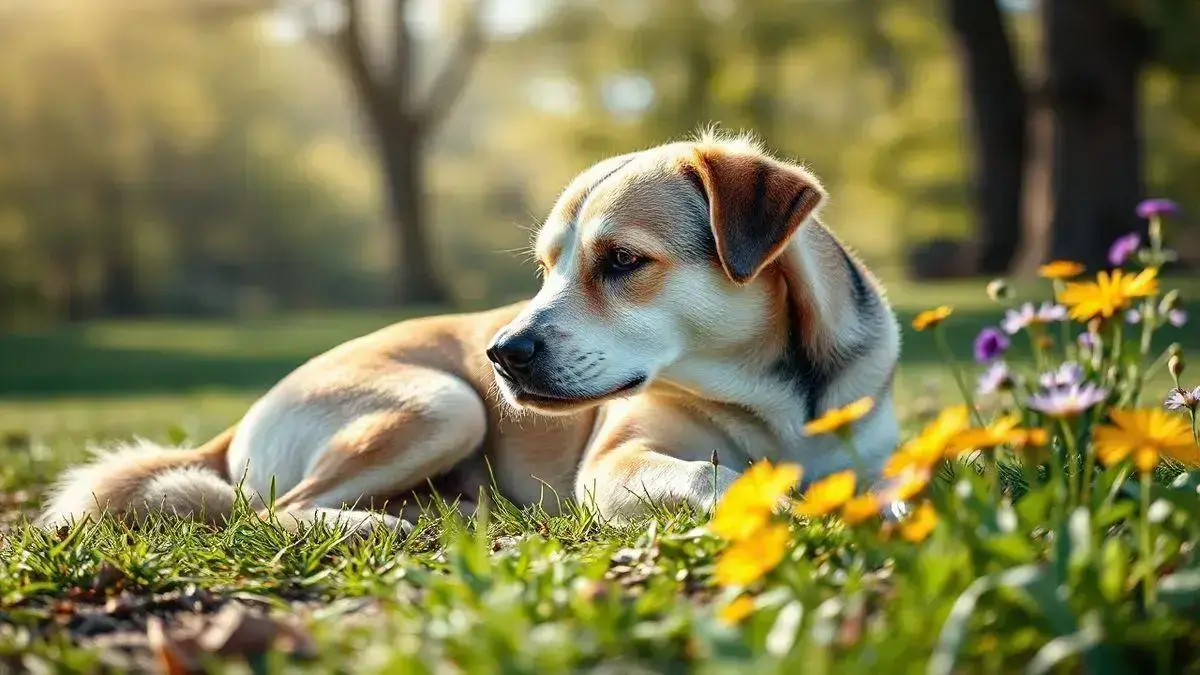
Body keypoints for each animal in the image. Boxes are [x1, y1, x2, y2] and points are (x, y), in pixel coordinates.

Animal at [37, 131, 902, 530]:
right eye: (545, 267)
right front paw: (782, 496)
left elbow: (891, 483)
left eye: (622, 260)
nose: (501, 355)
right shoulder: (613, 465)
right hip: (442, 402)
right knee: (277, 512)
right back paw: (378, 526)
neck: (777, 394)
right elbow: (712, 476)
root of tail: (241, 418)